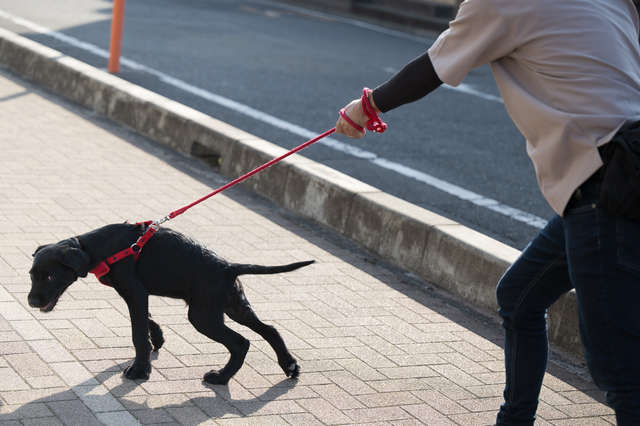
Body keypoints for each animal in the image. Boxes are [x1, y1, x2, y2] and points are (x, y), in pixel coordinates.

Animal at [27, 225, 312, 384]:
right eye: (31, 275)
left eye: (50, 276)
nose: (31, 301)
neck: (101, 247)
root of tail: (227, 267)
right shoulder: (135, 294)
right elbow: (147, 320)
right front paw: (158, 339)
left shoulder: (134, 291)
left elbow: (138, 333)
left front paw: (140, 370)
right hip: (233, 306)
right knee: (270, 329)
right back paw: (289, 365)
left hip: (203, 316)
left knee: (241, 342)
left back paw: (221, 378)